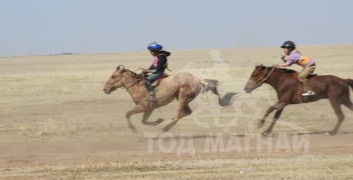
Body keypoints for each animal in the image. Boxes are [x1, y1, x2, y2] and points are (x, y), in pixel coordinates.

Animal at [102, 65, 235, 133]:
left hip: (182, 98)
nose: (105, 89)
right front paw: (158, 120)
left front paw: (133, 129)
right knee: (186, 112)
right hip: (183, 99)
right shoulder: (149, 109)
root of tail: (198, 80)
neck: (137, 86)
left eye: (113, 76)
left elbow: (128, 113)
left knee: (178, 115)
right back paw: (166, 126)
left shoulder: (143, 107)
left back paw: (165, 128)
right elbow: (143, 120)